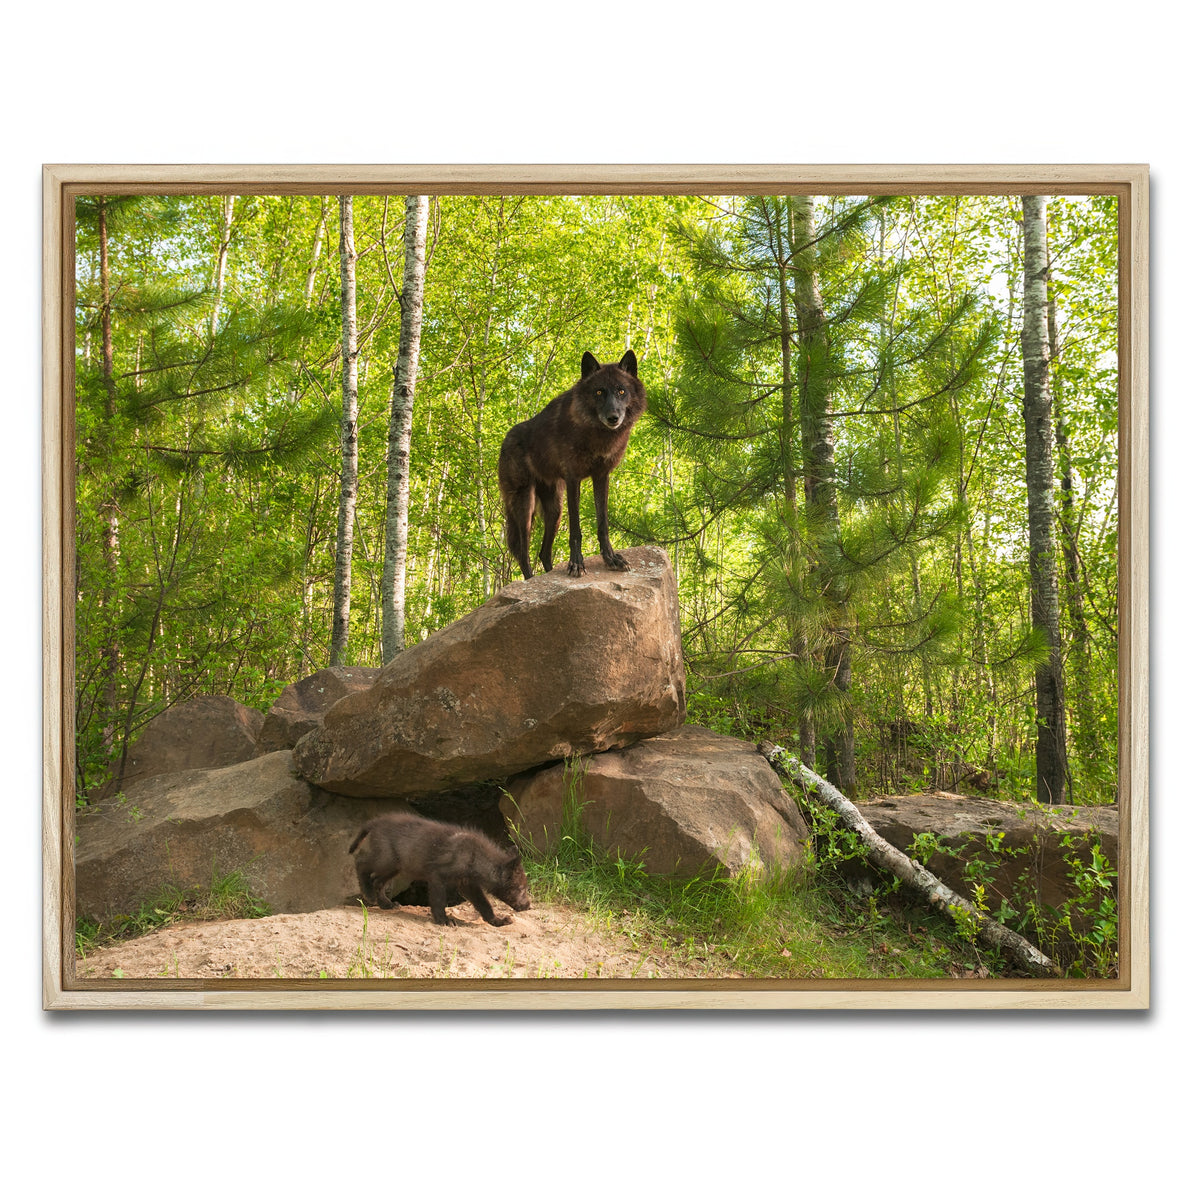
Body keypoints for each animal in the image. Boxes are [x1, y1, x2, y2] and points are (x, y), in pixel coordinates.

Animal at [348, 812, 532, 927]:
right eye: (521, 888)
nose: (528, 906)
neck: (474, 856)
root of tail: (376, 822)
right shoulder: (437, 876)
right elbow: (438, 901)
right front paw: (443, 920)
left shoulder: (468, 885)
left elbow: (484, 905)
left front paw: (497, 921)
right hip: (386, 860)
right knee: (360, 862)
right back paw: (368, 894)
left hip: (394, 867)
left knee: (378, 881)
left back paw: (386, 904)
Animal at [498, 349, 647, 580]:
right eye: (599, 392)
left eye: (621, 391)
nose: (613, 417)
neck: (597, 435)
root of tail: (505, 440)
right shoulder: (573, 479)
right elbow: (576, 529)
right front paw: (576, 564)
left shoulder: (601, 476)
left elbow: (603, 524)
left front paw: (611, 558)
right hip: (525, 507)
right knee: (523, 553)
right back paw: (530, 581)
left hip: (554, 510)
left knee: (543, 553)